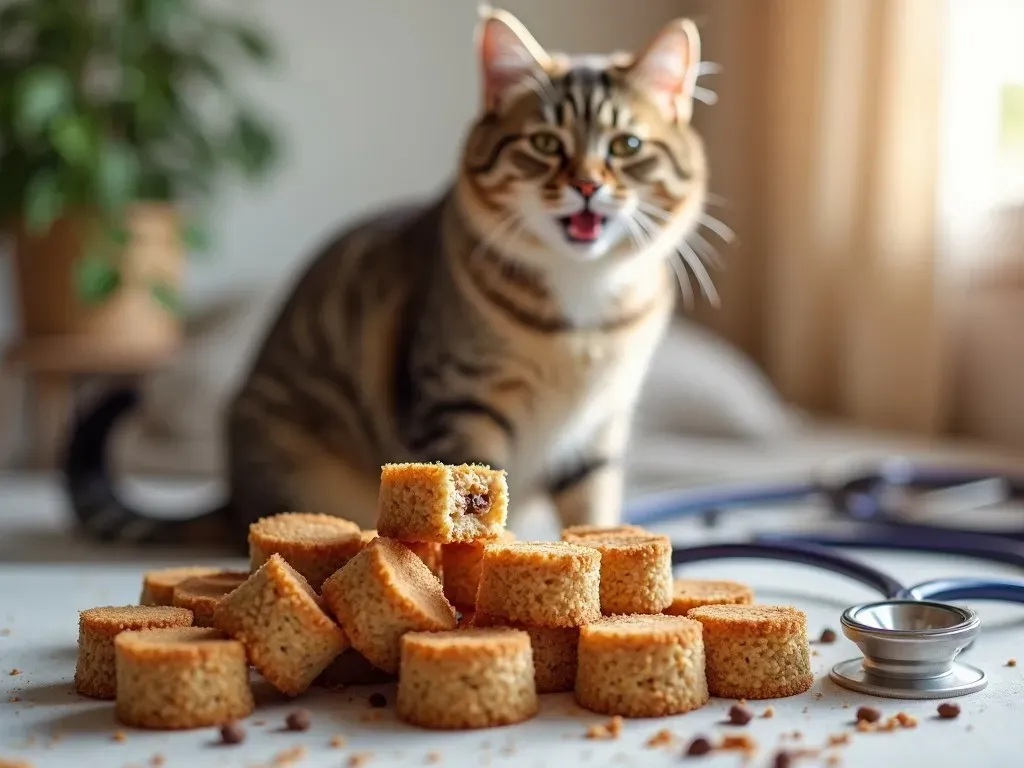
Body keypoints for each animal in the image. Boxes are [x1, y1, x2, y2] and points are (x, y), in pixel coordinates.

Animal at [61, 6, 712, 548]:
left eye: (627, 145)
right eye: (545, 143)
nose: (586, 185)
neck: (583, 313)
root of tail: (231, 493)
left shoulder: (601, 427)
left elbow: (594, 508)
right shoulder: (458, 404)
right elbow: (474, 492)